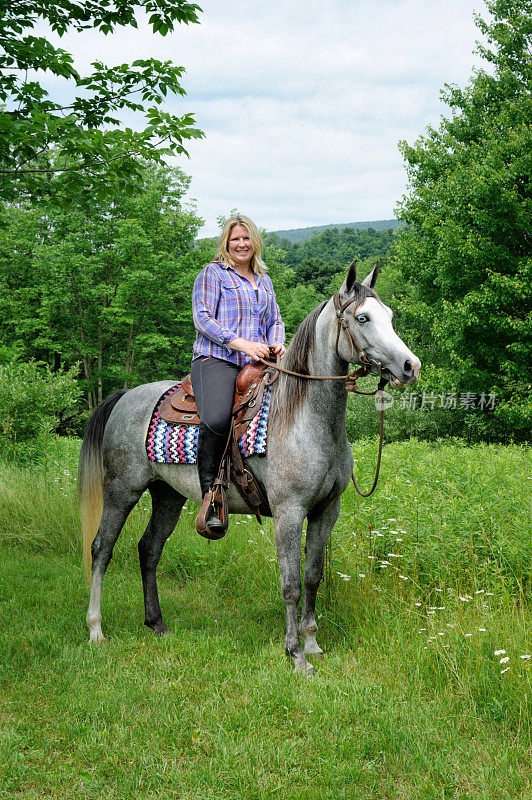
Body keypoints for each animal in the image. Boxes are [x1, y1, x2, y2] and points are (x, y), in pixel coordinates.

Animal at [79, 264, 420, 676]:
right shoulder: (289, 512)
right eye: (363, 318)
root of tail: (125, 395)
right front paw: (295, 655)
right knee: (102, 548)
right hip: (122, 490)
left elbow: (312, 576)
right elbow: (290, 583)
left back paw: (156, 623)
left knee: (149, 549)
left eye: (390, 316)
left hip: (168, 495)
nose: (410, 366)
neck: (304, 417)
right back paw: (96, 629)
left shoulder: (326, 510)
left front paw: (312, 643)